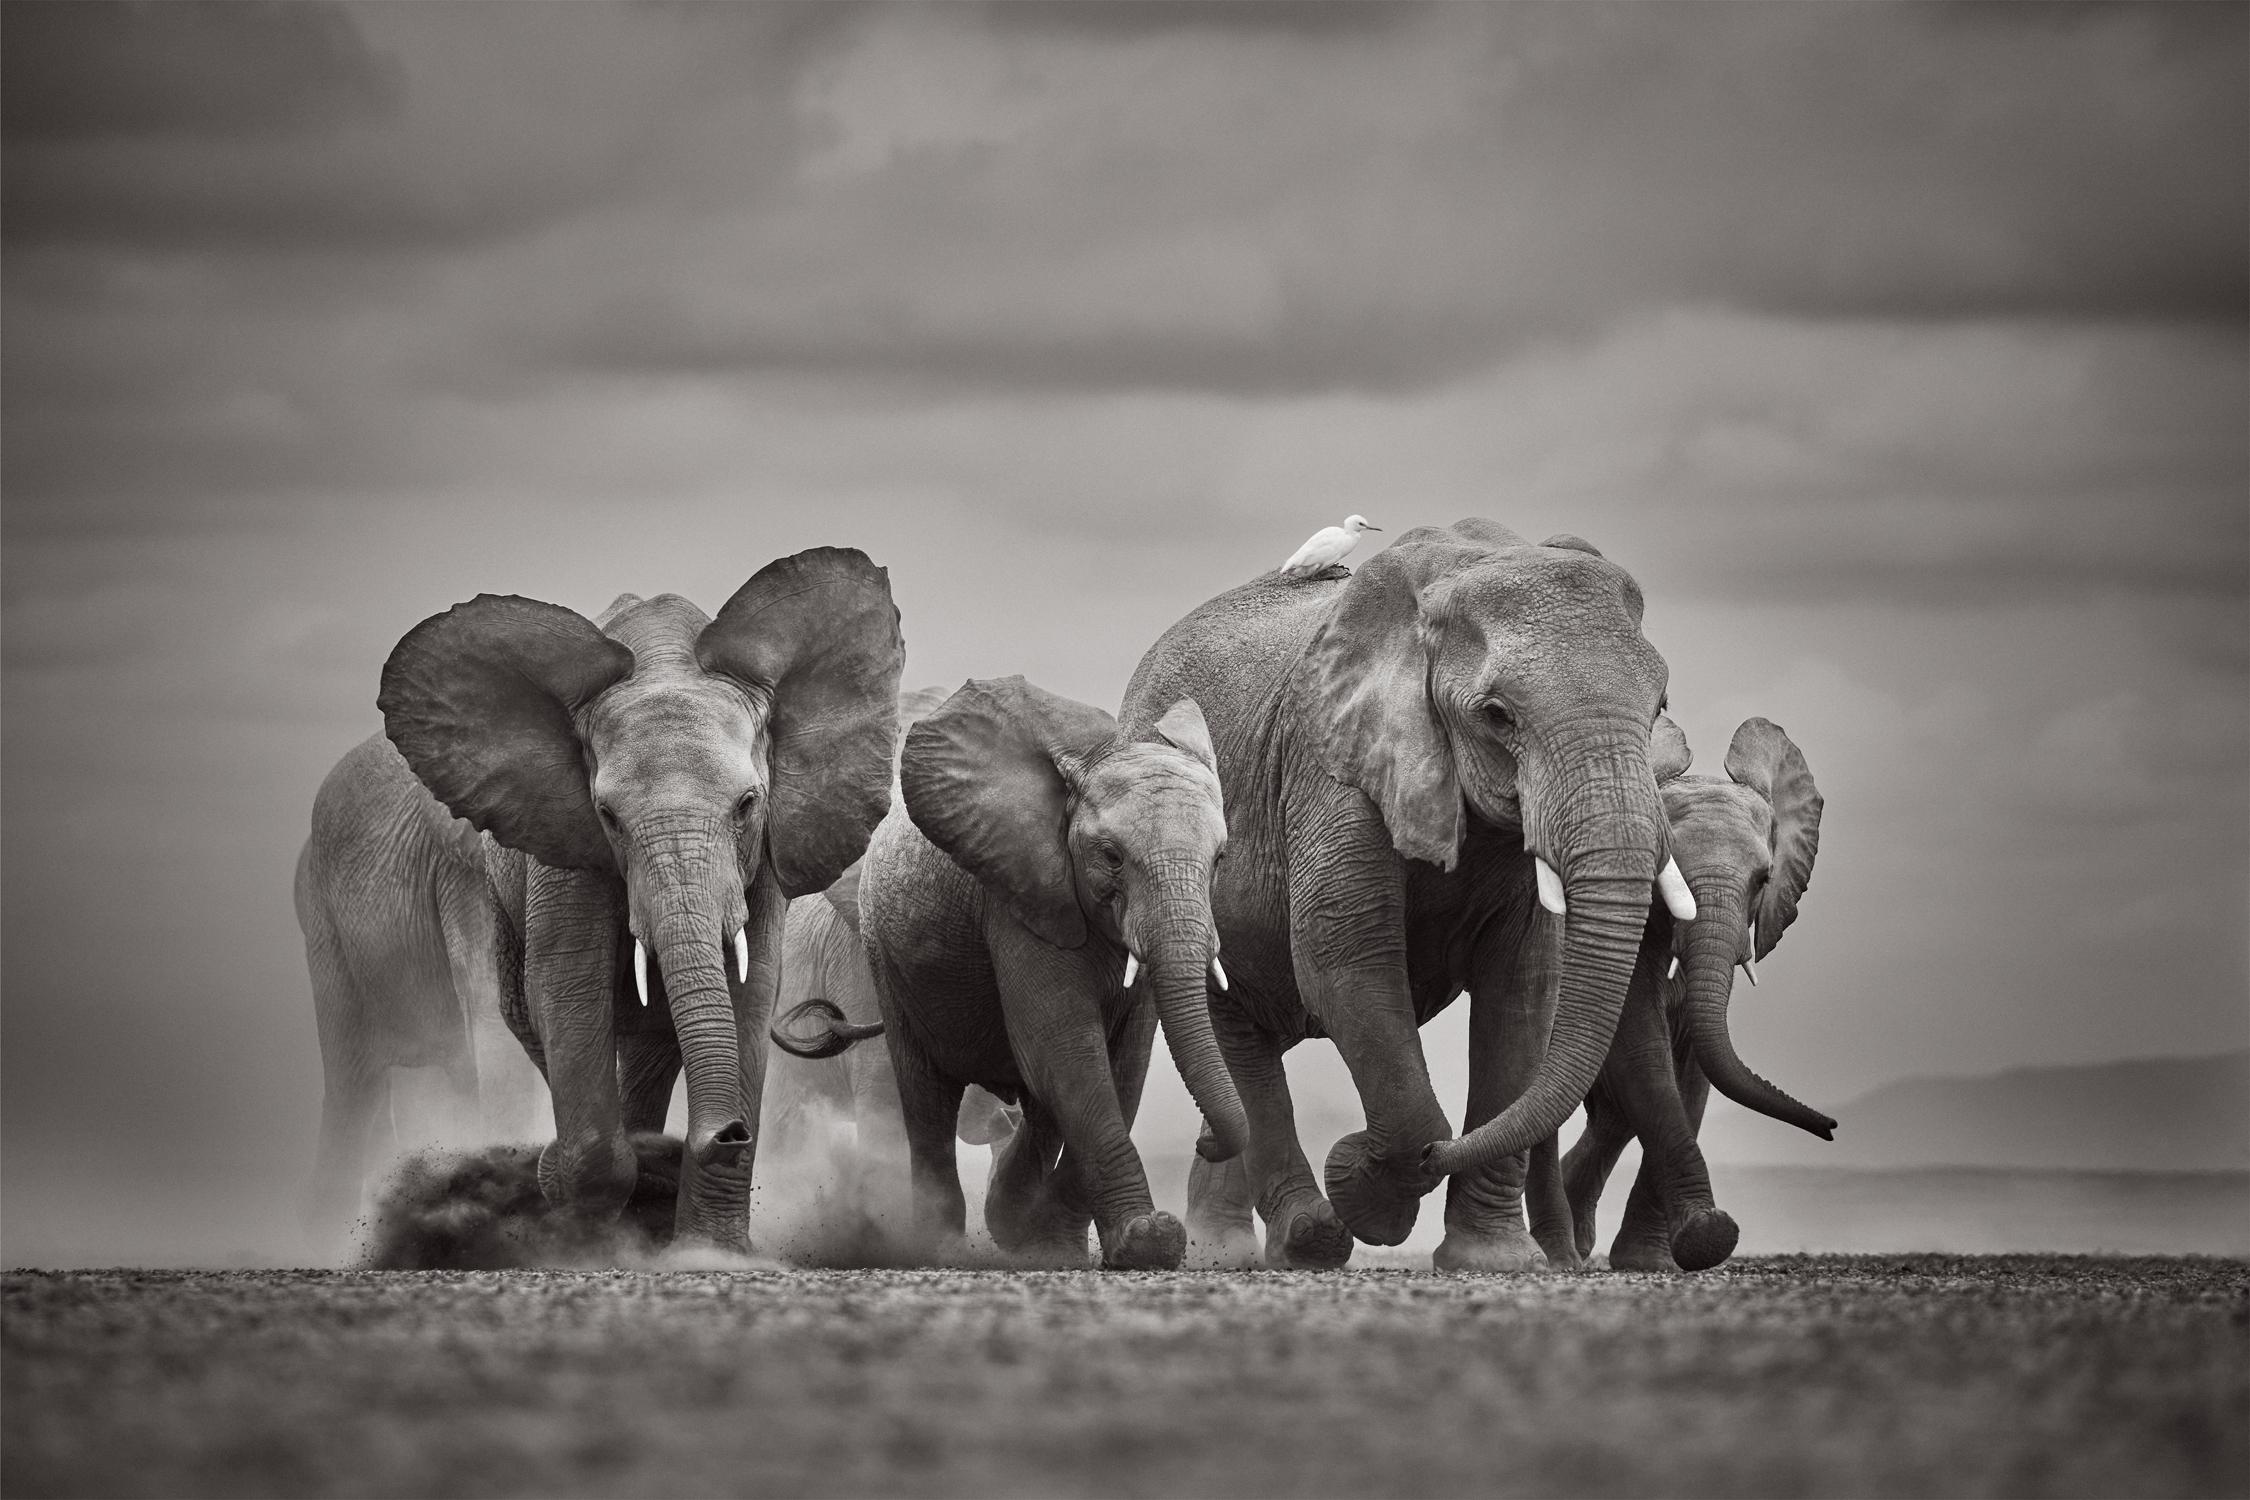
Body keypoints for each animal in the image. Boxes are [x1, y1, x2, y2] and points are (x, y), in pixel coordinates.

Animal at [377, 547, 905, 1249]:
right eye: (608, 816)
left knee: (652, 1045)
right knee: (538, 1022)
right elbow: (569, 984)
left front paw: (708, 1252)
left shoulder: (764, 854)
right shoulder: (564, 845)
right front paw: (583, 1230)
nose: (727, 1132)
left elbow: (751, 986)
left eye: (747, 804)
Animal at [856, 676, 1250, 1269]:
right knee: (926, 1100)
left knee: (1040, 1106)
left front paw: (1069, 1245)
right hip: (886, 956)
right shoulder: (1017, 899)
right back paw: (939, 1246)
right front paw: (1149, 1240)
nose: (1203, 1142)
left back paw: (1012, 1221)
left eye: (1221, 859)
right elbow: (1067, 1051)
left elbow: (1122, 1065)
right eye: (1111, 856)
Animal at [1120, 519, 1696, 1271]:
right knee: (1236, 1032)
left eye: (1660, 706)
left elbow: (1525, 985)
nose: (1436, 1153)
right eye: (1497, 715)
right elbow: (1345, 955)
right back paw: (1308, 1237)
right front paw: (1366, 1186)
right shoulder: (1330, 758)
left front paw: (1492, 1260)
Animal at [1524, 716, 1832, 1272]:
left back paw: (1579, 1238)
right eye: (1666, 872)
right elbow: (1646, 1052)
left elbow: (1692, 1071)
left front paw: (1657, 1259)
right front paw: (1706, 1238)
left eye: (1763, 879)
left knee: (1612, 1116)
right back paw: (1561, 1253)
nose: (1832, 1128)